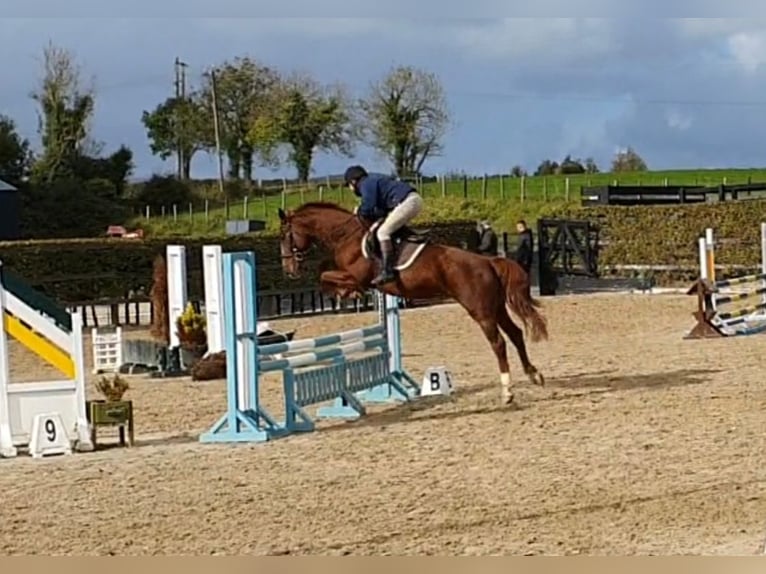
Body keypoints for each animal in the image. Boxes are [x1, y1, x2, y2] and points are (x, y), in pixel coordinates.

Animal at [280, 202, 548, 404]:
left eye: (286, 236)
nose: (289, 270)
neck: (347, 236)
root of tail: (488, 261)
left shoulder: (357, 276)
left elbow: (324, 276)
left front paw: (350, 293)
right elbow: (324, 274)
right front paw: (348, 294)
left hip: (480, 311)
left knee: (499, 342)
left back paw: (507, 391)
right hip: (496, 308)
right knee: (515, 334)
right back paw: (534, 374)